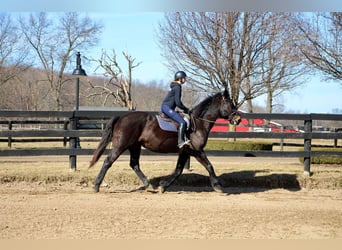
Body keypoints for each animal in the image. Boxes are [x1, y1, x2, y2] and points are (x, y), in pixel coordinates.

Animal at [89, 89, 242, 192]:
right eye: (229, 104)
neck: (198, 123)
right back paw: (96, 186)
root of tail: (121, 117)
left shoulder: (185, 152)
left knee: (134, 164)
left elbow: (178, 170)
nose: (238, 119)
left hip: (135, 146)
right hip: (121, 145)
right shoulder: (197, 151)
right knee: (108, 161)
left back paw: (149, 185)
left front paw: (163, 185)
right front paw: (218, 187)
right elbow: (209, 166)